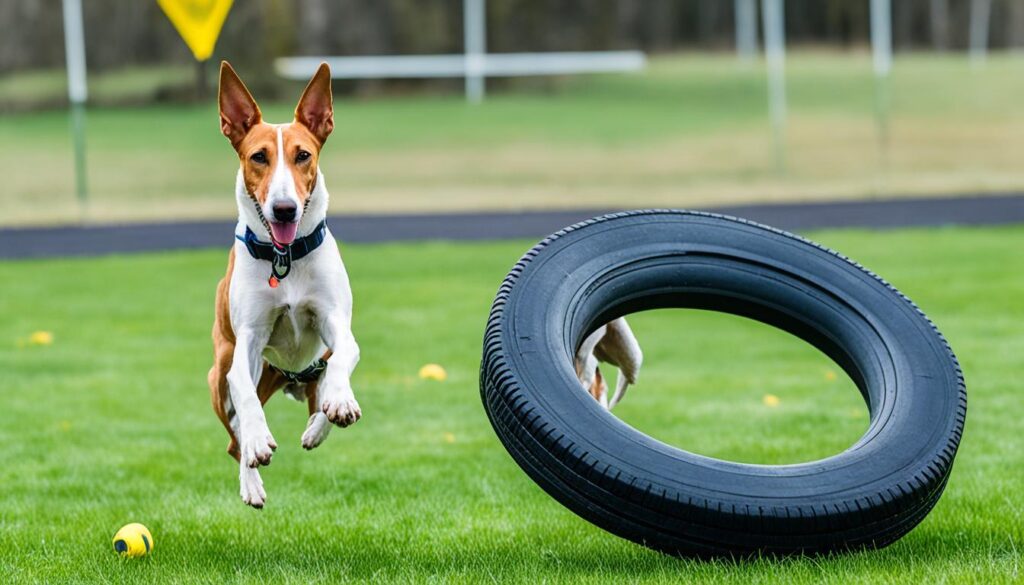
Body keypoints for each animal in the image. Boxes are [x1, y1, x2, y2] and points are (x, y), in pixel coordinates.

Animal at [206, 63, 360, 508]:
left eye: (303, 155)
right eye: (259, 156)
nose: (285, 208)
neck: (285, 258)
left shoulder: (334, 322)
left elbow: (345, 357)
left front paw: (340, 401)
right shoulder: (248, 339)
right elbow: (242, 390)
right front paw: (258, 442)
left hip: (312, 367)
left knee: (321, 387)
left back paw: (319, 422)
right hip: (218, 373)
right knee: (234, 438)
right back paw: (251, 477)